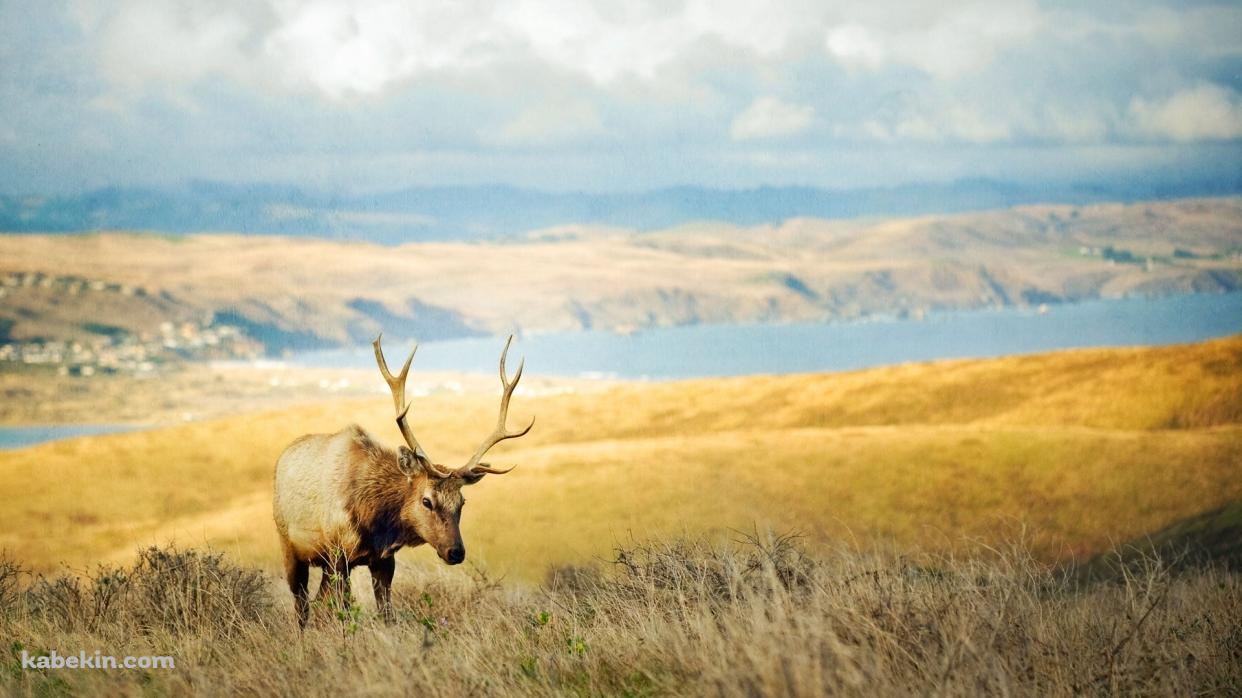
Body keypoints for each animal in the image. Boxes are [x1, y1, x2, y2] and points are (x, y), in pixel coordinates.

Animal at [273, 334, 533, 626]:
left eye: (462, 502)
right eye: (427, 501)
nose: (456, 552)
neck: (374, 520)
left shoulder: (384, 560)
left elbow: (387, 614)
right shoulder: (339, 555)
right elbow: (344, 614)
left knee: (316, 602)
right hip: (289, 546)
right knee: (302, 606)